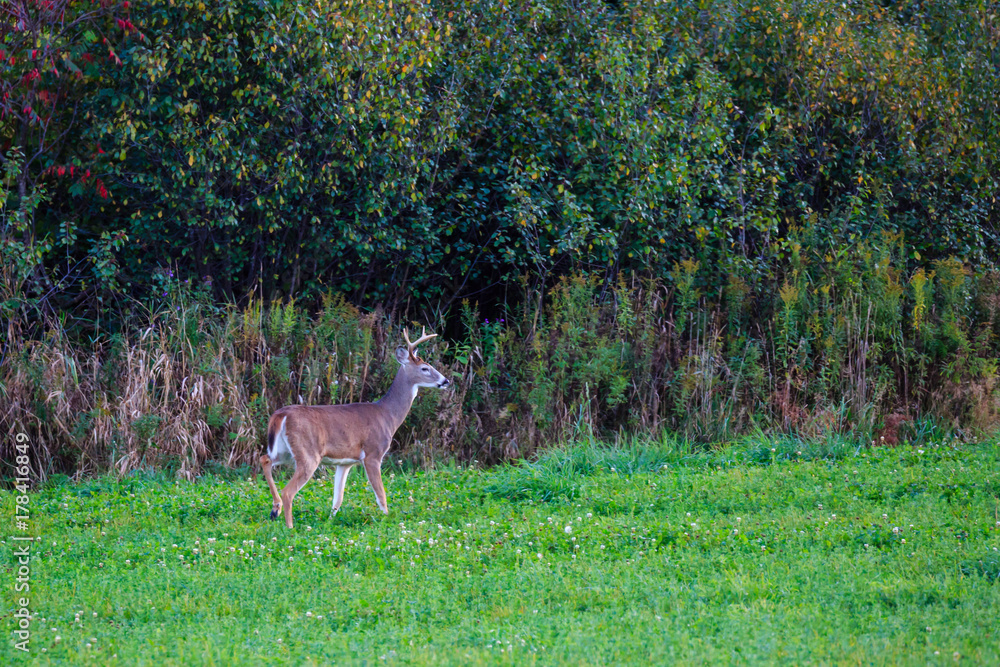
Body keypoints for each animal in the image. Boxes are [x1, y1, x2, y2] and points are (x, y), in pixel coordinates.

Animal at [260, 327, 450, 528]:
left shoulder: (345, 462)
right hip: (308, 453)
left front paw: (329, 522)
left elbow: (338, 498)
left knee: (265, 459)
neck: (388, 415)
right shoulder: (373, 453)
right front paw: (387, 519)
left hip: (285, 450)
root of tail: (281, 415)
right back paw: (289, 526)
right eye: (425, 368)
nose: (445, 381)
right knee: (288, 491)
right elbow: (381, 495)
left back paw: (275, 509)